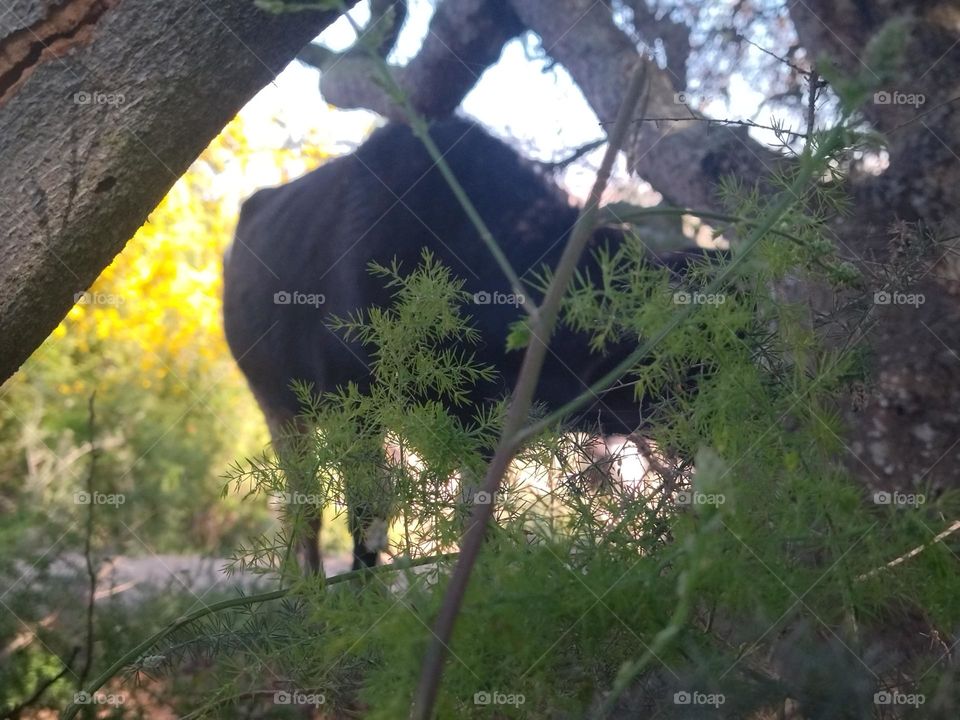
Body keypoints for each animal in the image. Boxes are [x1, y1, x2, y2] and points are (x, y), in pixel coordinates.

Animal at [222, 117, 710, 573]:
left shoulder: (487, 429)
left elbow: (473, 521)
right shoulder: (354, 407)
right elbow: (367, 513)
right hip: (279, 407)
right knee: (306, 507)